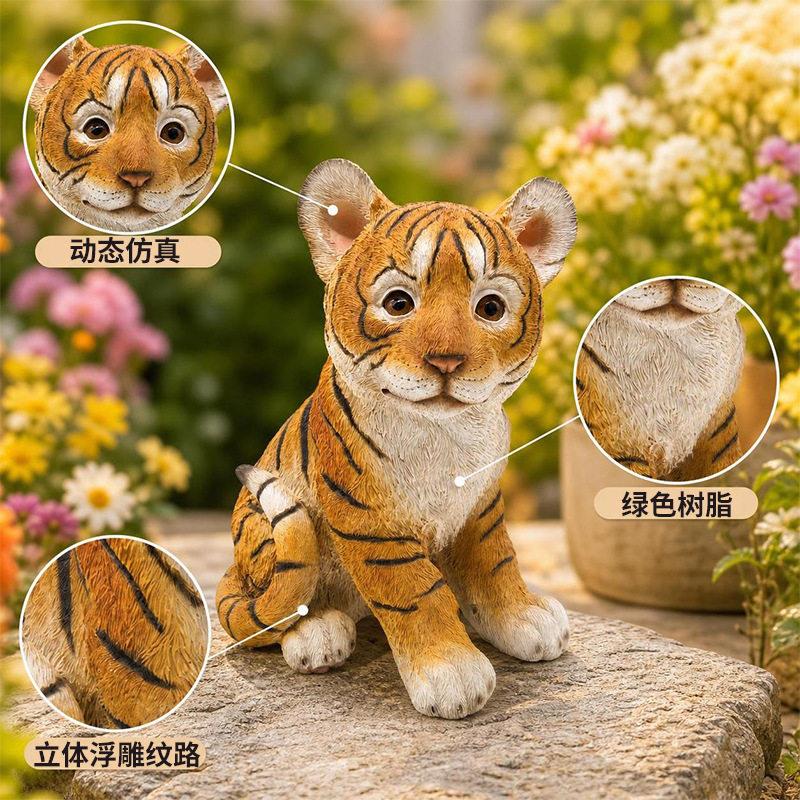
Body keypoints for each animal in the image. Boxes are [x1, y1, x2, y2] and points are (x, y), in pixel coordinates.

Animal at [216, 158, 577, 719]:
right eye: (399, 303)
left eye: (490, 308)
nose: (446, 361)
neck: (446, 432)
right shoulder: (371, 521)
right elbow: (415, 590)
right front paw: (453, 672)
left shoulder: (480, 506)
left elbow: (496, 562)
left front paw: (525, 618)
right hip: (262, 529)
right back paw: (318, 635)